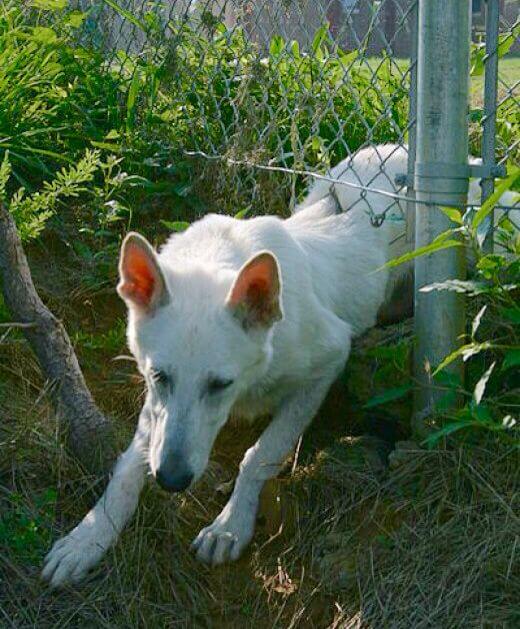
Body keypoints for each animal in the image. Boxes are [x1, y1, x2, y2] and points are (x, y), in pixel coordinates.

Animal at [40, 142, 488, 584]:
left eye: (220, 384)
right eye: (159, 376)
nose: (171, 480)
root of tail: (402, 150)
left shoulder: (329, 359)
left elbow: (260, 454)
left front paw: (229, 525)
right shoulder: (154, 403)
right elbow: (129, 466)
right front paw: (90, 536)